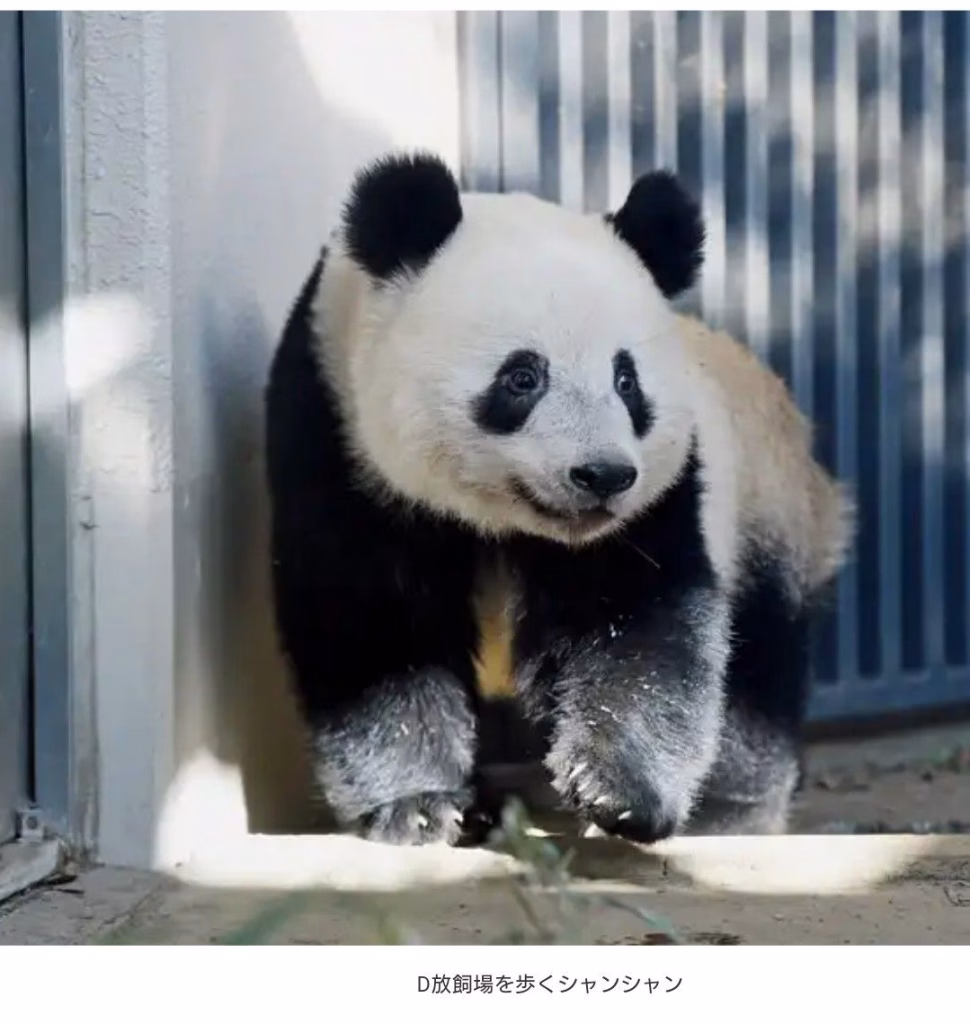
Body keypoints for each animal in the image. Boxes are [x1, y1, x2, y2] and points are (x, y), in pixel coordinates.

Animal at [264, 150, 854, 848]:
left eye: (626, 381)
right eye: (523, 376)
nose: (602, 475)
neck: (499, 518)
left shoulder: (662, 496)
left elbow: (636, 618)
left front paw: (617, 791)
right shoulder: (335, 436)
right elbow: (374, 624)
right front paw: (417, 807)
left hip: (763, 508)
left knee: (760, 660)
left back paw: (730, 810)